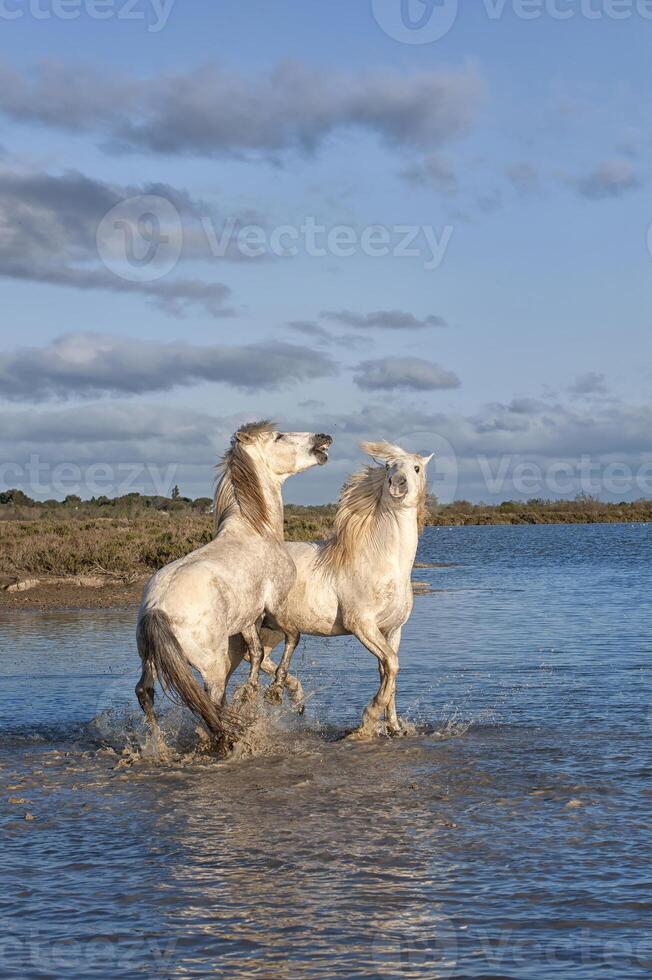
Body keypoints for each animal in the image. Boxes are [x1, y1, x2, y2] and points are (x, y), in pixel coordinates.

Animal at [136, 418, 332, 748]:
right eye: (279, 436)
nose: (324, 437)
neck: (256, 529)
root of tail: (156, 609)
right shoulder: (275, 605)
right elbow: (293, 638)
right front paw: (274, 690)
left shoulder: (249, 616)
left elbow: (256, 651)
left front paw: (252, 691)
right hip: (213, 668)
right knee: (211, 707)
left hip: (150, 661)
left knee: (145, 694)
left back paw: (159, 748)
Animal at [255, 442, 432, 736]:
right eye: (388, 466)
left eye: (416, 468)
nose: (397, 483)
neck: (383, 563)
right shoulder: (361, 625)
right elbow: (392, 664)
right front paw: (368, 719)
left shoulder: (392, 630)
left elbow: (389, 672)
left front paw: (395, 728)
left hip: (271, 630)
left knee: (261, 659)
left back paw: (293, 694)